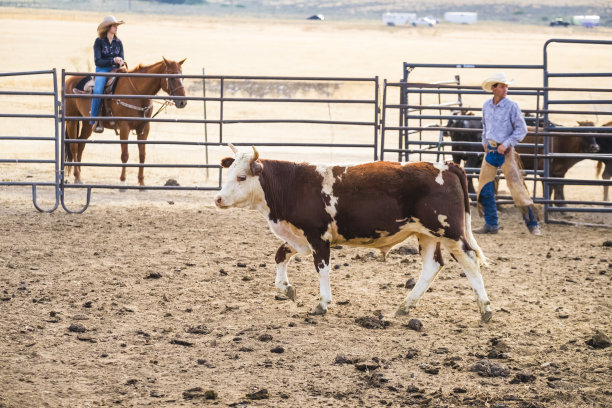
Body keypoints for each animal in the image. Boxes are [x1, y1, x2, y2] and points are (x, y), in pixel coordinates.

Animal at [62, 57, 188, 185]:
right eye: (171, 77)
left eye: (182, 77)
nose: (183, 102)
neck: (137, 93)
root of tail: (69, 80)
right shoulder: (124, 126)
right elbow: (125, 155)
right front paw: (123, 181)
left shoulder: (144, 128)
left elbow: (142, 154)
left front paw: (141, 182)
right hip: (71, 120)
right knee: (73, 146)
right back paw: (77, 176)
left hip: (87, 123)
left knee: (80, 144)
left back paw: (78, 176)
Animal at [215, 143, 492, 322]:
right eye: (229, 173)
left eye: (241, 177)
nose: (217, 198)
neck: (292, 184)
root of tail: (446, 165)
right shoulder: (299, 237)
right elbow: (281, 254)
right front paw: (286, 288)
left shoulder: (318, 237)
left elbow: (322, 269)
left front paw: (322, 303)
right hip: (427, 234)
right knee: (432, 266)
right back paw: (405, 306)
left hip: (449, 231)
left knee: (469, 260)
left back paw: (485, 309)